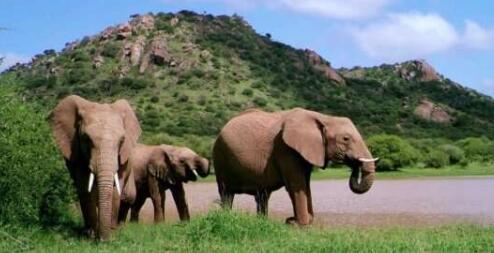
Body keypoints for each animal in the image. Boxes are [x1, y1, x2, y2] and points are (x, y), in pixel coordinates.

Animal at [49, 94, 141, 239]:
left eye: (122, 140)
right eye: (86, 139)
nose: (103, 240)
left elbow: (115, 190)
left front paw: (111, 234)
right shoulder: (77, 152)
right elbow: (84, 187)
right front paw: (90, 235)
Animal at [213, 107, 378, 226]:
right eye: (345, 139)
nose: (354, 165)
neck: (323, 117)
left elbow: (306, 184)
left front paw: (300, 221)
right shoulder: (284, 149)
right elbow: (296, 184)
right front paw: (300, 224)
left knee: (262, 196)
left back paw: (262, 221)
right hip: (220, 157)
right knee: (226, 193)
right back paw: (227, 218)